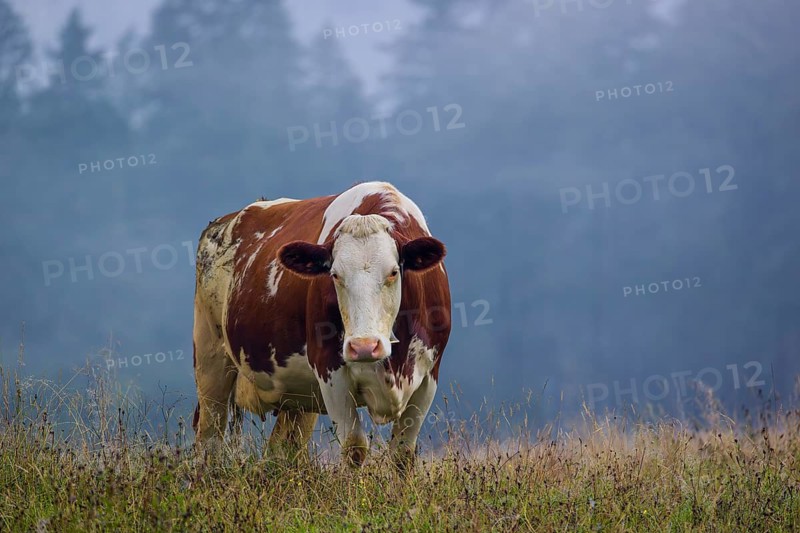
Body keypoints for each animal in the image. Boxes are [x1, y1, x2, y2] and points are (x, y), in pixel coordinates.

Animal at [192, 181, 451, 468]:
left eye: (393, 272)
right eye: (335, 274)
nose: (364, 346)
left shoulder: (429, 377)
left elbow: (402, 455)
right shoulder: (329, 368)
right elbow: (354, 447)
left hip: (298, 396)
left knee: (282, 449)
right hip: (210, 355)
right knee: (210, 439)